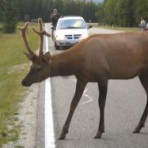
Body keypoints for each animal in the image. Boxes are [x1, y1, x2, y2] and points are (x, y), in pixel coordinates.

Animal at [20, 17, 148, 139]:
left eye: (38, 68)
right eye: (30, 66)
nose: (24, 81)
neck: (79, 63)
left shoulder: (103, 75)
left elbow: (101, 103)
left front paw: (99, 131)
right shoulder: (82, 78)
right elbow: (74, 102)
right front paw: (63, 132)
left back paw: (138, 126)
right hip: (142, 73)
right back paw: (138, 126)